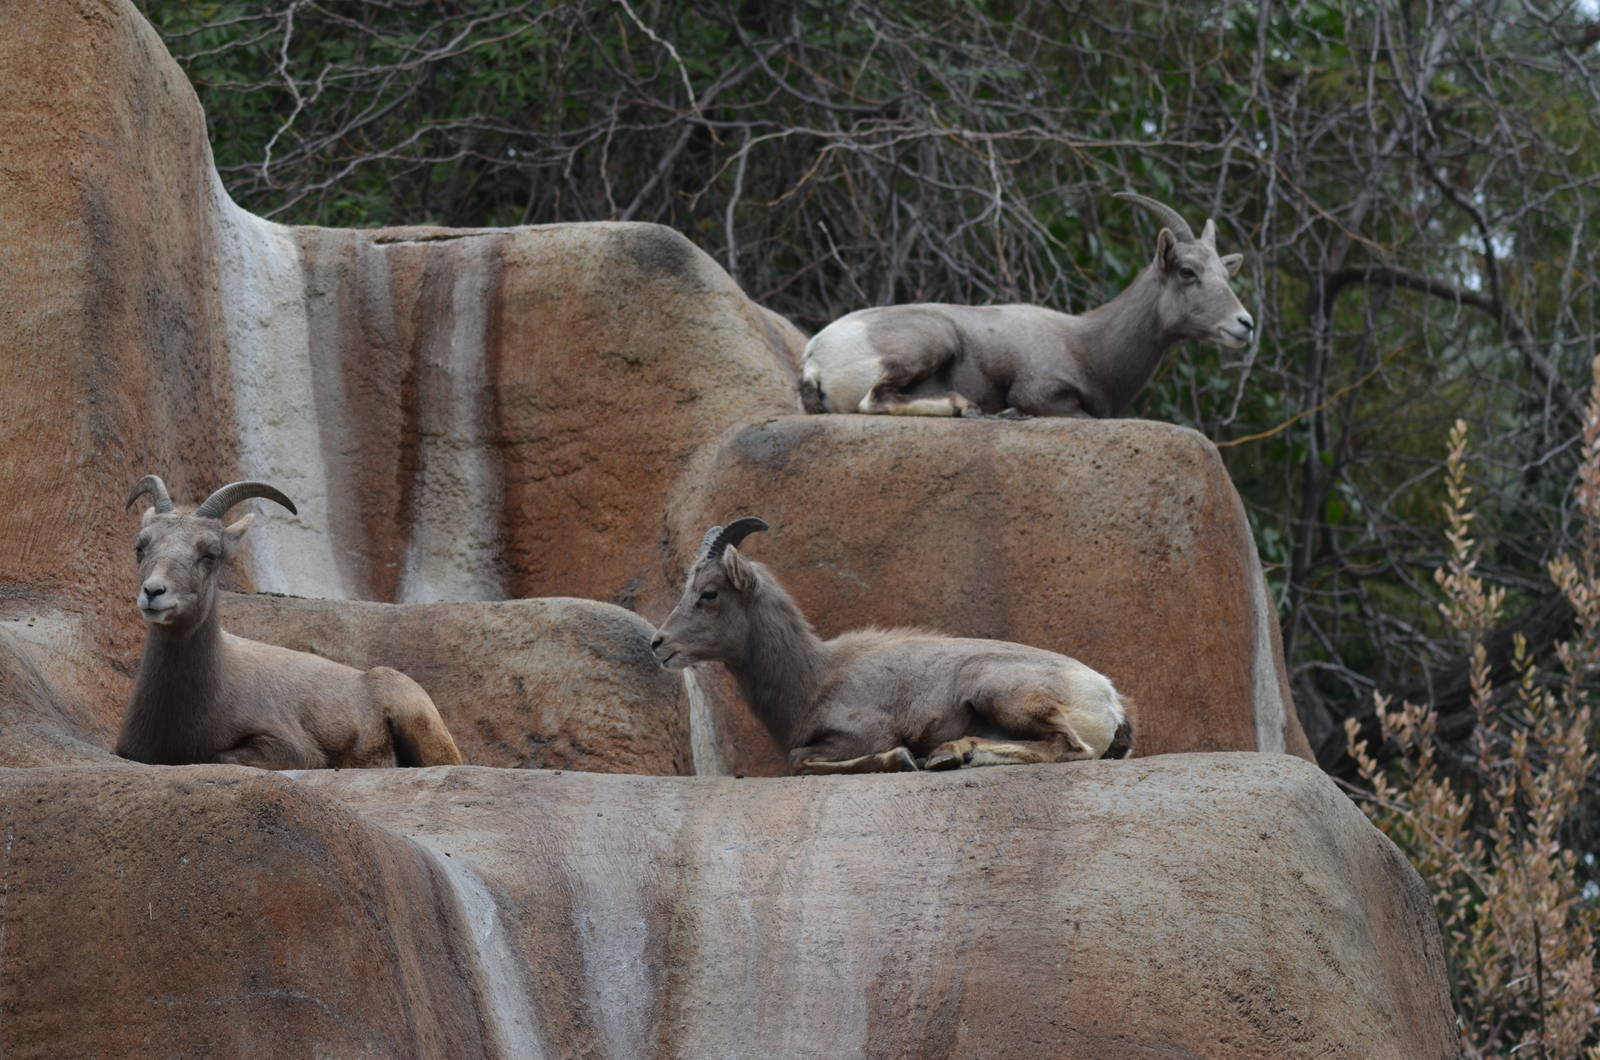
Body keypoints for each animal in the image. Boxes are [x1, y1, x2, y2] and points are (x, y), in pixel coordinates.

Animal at [651, 517, 1133, 774]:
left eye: (709, 593)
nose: (658, 644)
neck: (814, 678)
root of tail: (1107, 697)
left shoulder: (864, 733)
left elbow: (799, 759)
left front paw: (902, 758)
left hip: (999, 690)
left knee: (1071, 748)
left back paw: (954, 753)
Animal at [799, 191, 1254, 418]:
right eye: (1187, 271)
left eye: (1226, 273)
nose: (1244, 324)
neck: (1084, 342)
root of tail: (815, 356)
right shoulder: (1039, 393)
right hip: (932, 341)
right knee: (873, 400)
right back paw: (965, 407)